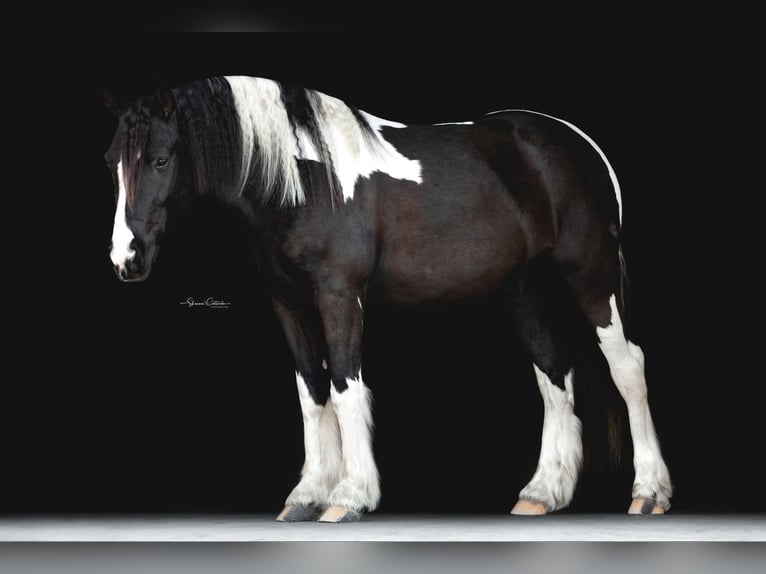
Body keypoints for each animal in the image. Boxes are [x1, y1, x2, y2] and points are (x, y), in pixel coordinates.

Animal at [103, 75, 672, 522]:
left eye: (160, 159)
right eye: (112, 163)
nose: (125, 259)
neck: (307, 179)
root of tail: (581, 145)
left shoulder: (338, 296)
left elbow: (344, 387)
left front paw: (350, 496)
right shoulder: (288, 303)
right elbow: (311, 394)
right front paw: (306, 495)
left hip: (593, 280)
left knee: (628, 368)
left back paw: (647, 492)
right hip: (524, 291)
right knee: (554, 375)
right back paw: (542, 493)